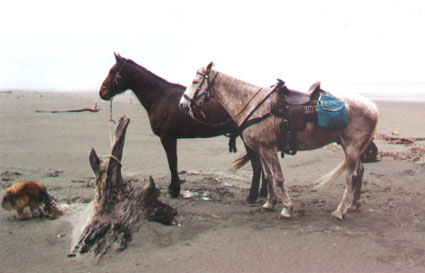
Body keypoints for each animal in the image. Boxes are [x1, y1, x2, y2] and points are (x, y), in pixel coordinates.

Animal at [179, 62, 378, 219]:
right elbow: (268, 176)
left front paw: (287, 209)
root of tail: (373, 108)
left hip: (351, 148)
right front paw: (269, 203)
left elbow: (279, 178)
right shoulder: (261, 149)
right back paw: (353, 204)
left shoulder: (269, 149)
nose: (182, 105)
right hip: (352, 149)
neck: (255, 105)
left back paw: (339, 211)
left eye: (195, 82)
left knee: (351, 176)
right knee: (360, 171)